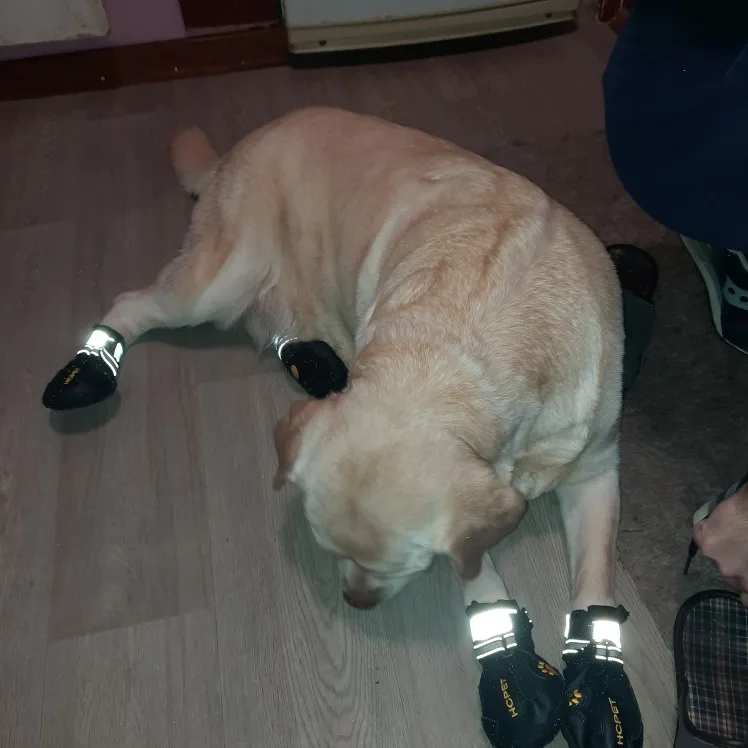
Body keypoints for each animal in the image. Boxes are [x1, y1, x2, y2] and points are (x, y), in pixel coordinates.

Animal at [96, 106, 623, 614]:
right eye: (331, 552)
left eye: (404, 563)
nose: (356, 601)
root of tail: (243, 144)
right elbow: (475, 561)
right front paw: (494, 612)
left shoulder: (597, 467)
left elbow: (595, 578)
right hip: (217, 285)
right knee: (130, 303)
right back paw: (93, 366)